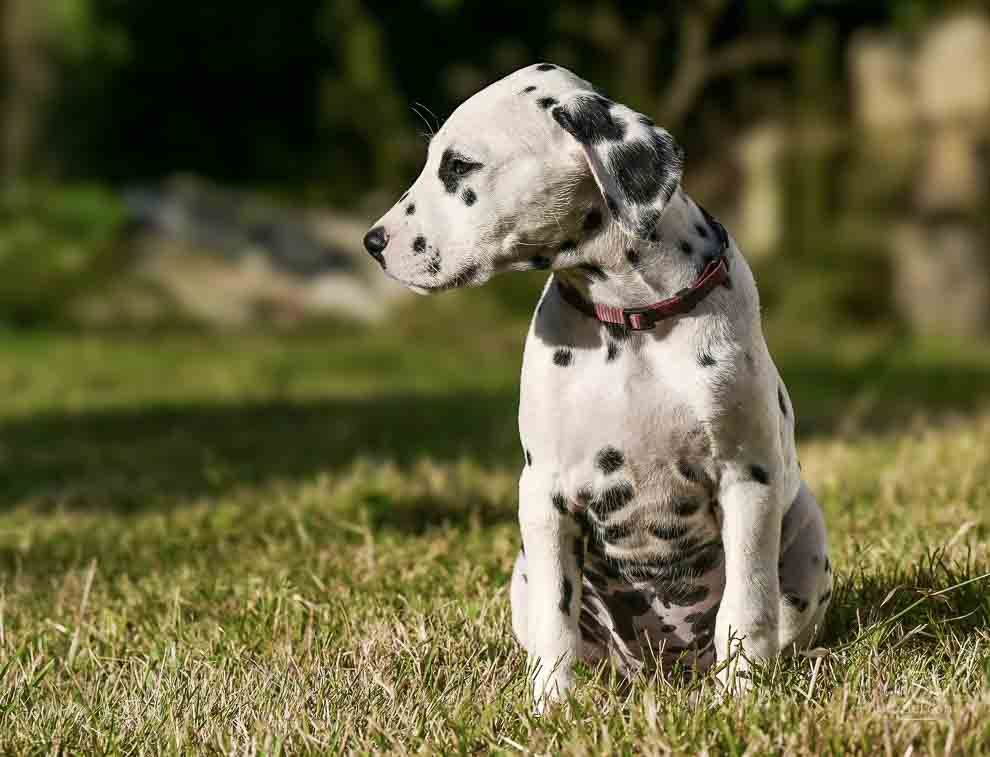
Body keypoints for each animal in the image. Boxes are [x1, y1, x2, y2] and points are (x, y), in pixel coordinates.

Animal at [360, 63, 832, 708]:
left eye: (458, 166)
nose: (373, 243)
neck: (630, 319)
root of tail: (666, 666)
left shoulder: (748, 480)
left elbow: (747, 605)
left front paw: (742, 696)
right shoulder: (545, 493)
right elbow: (556, 618)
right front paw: (551, 706)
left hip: (808, 541)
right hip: (522, 577)